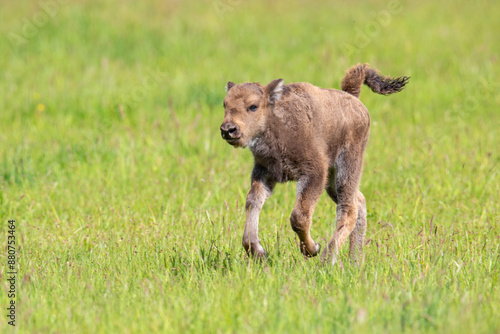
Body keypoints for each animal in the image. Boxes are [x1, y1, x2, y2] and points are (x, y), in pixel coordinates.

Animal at [221, 64, 408, 264]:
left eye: (253, 106)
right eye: (225, 105)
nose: (228, 129)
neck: (276, 121)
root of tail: (352, 98)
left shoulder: (314, 173)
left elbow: (299, 217)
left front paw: (312, 249)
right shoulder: (264, 173)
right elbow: (252, 202)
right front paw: (257, 251)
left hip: (347, 166)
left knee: (349, 209)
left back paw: (327, 258)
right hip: (333, 181)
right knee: (358, 201)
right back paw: (354, 261)